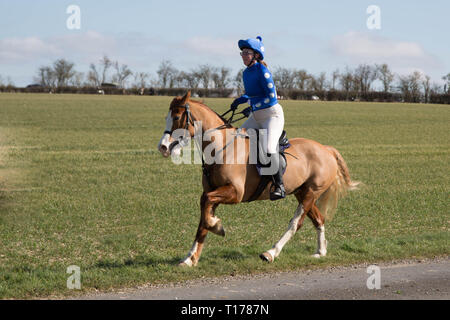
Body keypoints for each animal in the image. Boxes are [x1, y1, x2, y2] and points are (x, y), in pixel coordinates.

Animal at [157, 91, 358, 266]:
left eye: (176, 117)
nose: (163, 147)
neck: (222, 148)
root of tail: (326, 149)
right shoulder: (211, 192)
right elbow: (202, 221)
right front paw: (190, 259)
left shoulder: (235, 193)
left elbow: (206, 215)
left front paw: (216, 226)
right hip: (302, 193)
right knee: (319, 219)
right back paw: (320, 251)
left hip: (311, 193)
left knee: (295, 223)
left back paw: (271, 253)